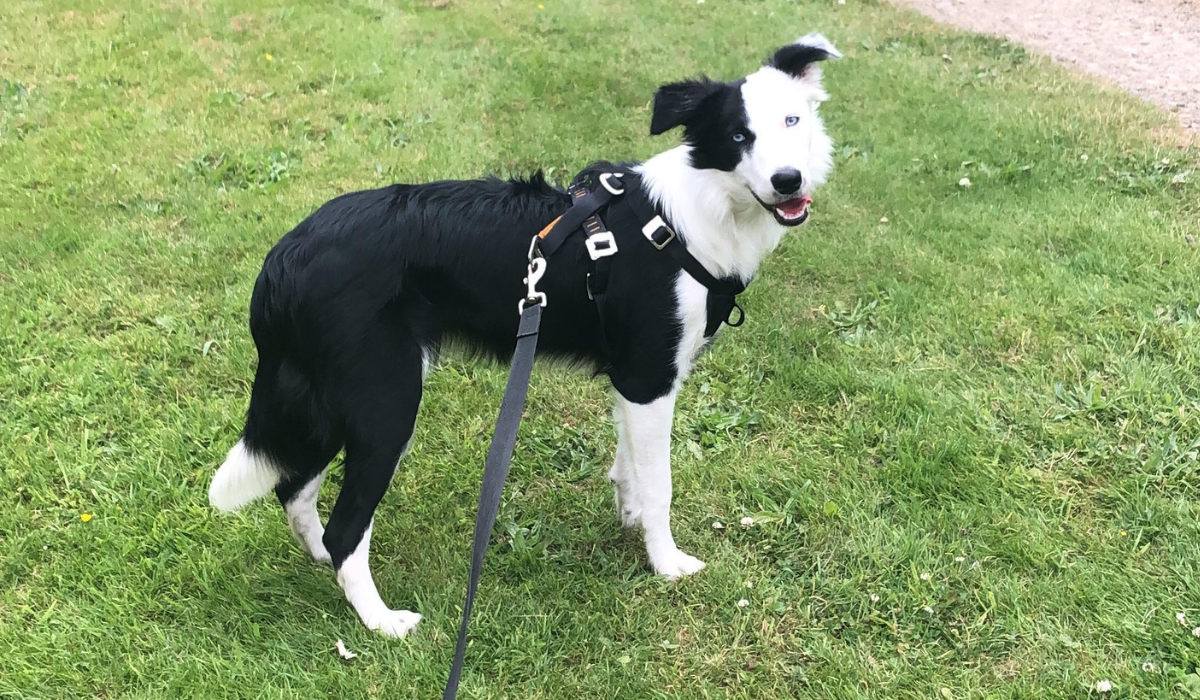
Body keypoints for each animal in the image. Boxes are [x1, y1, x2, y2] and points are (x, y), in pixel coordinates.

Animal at [208, 32, 844, 638]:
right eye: (738, 136)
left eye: (793, 121)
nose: (788, 182)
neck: (694, 215)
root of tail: (284, 258)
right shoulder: (650, 378)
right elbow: (659, 484)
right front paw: (666, 564)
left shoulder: (632, 381)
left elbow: (630, 469)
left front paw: (631, 521)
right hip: (386, 403)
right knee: (345, 524)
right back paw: (381, 621)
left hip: (332, 402)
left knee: (293, 487)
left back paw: (321, 559)